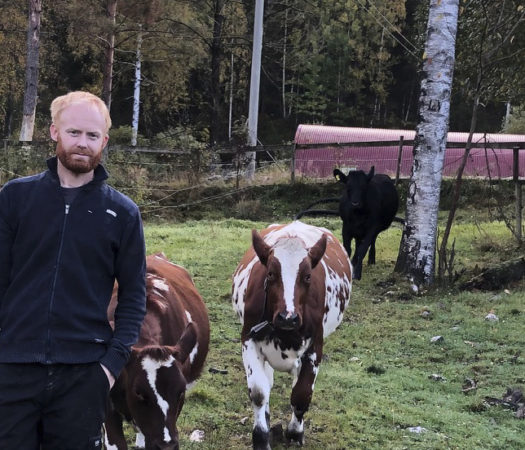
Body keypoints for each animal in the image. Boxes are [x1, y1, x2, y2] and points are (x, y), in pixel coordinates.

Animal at [232, 220, 352, 448]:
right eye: (270, 274)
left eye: (307, 276)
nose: (288, 317)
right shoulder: (249, 340)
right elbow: (259, 392)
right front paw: (261, 437)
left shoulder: (315, 347)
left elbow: (301, 395)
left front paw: (295, 432)